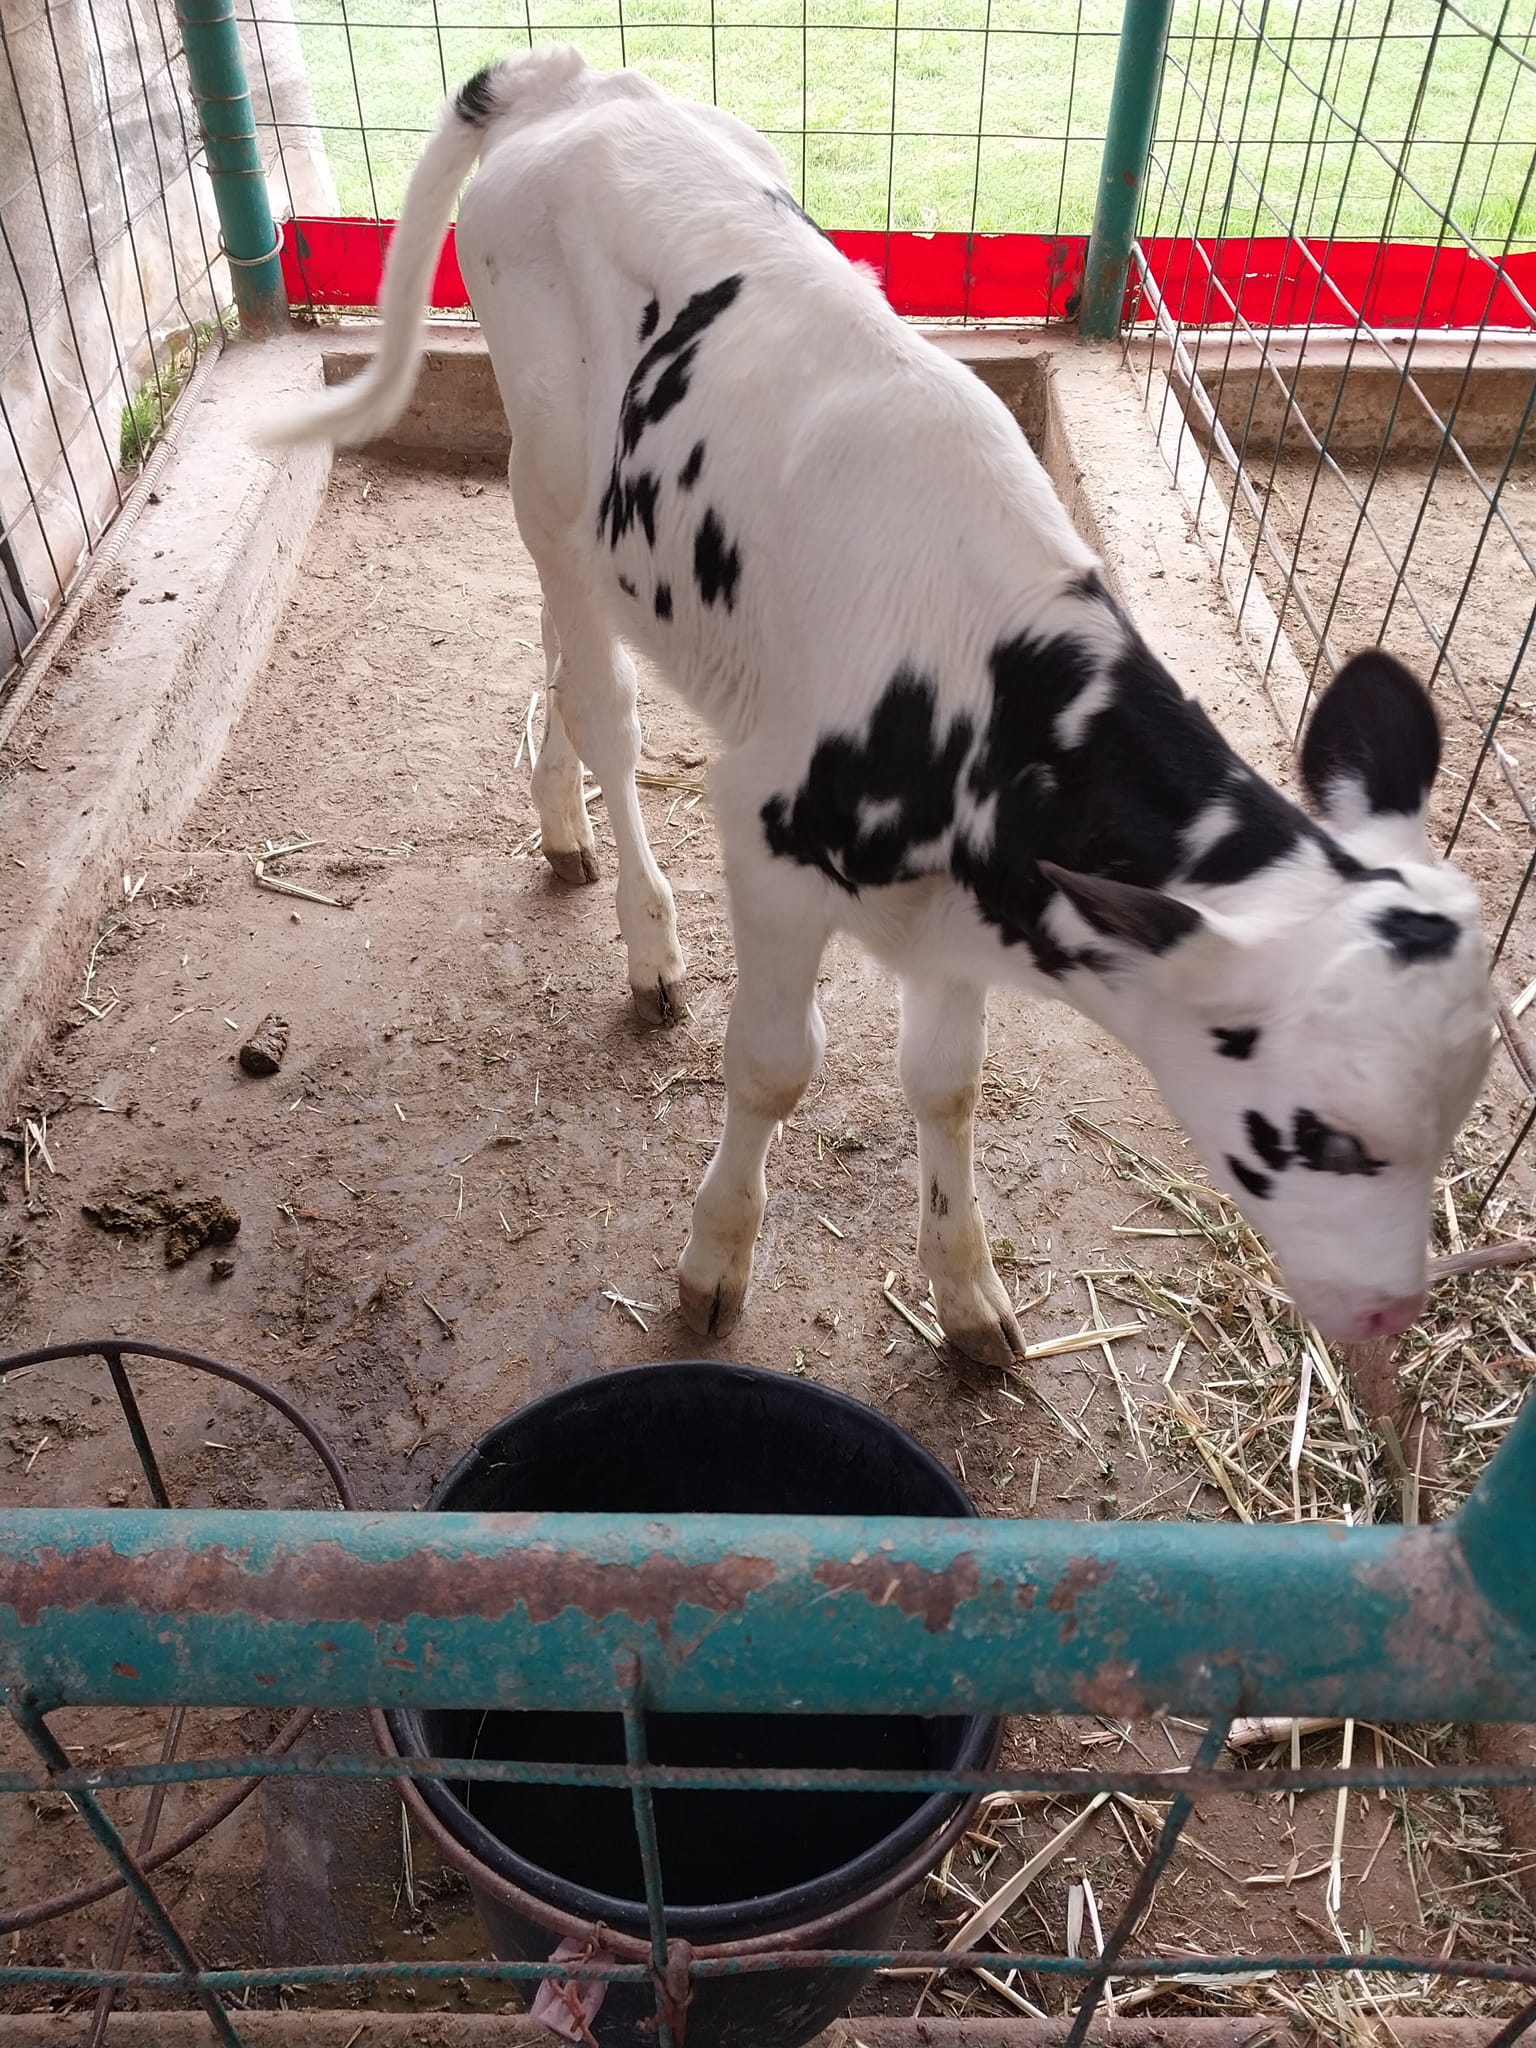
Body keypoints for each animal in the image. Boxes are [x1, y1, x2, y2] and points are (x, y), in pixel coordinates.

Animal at [262, 44, 1490, 1359]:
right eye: (1328, 1132)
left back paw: (560, 824)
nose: (1393, 1310)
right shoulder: (768, 846)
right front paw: (714, 1260)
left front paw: (967, 1292)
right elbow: (774, 1066)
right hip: (539, 469)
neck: (989, 706)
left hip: (596, 522)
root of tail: (579, 81)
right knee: (605, 706)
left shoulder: (967, 915)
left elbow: (944, 1083)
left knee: (563, 651)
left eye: (1451, 1119)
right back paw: (647, 937)